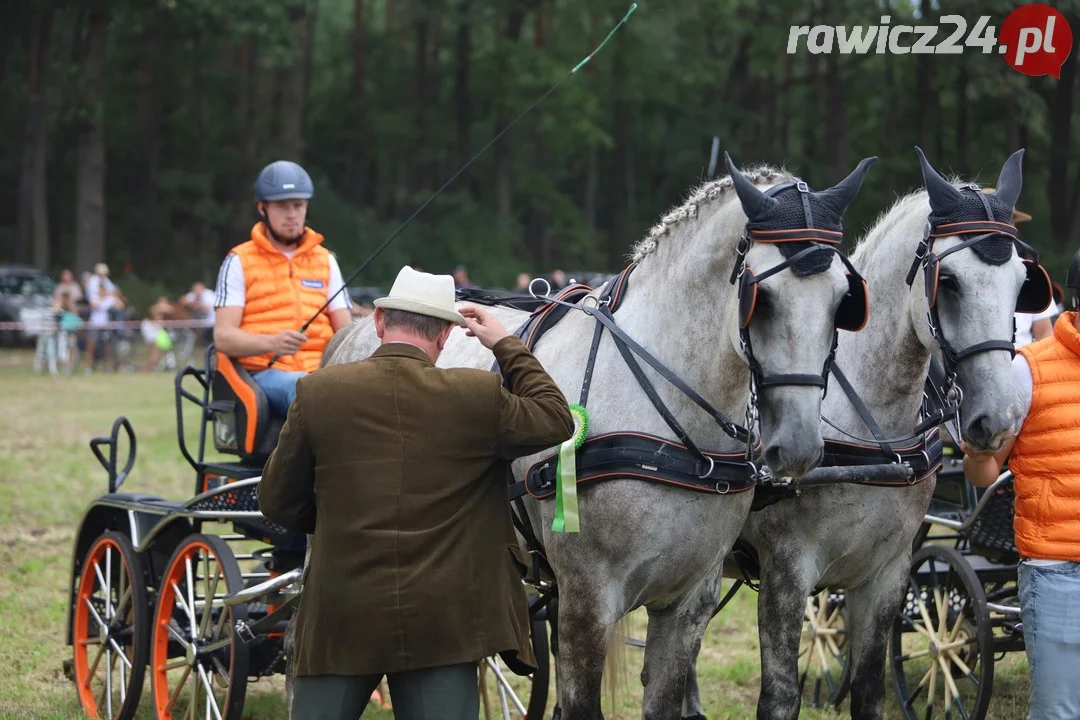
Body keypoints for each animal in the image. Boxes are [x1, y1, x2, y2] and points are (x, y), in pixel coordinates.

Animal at [306, 156, 876, 720]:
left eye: (842, 302)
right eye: (764, 298)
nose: (798, 446)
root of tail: (361, 328)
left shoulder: (689, 599)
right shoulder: (587, 598)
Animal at [721, 147, 1049, 720]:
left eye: (1019, 284)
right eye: (950, 282)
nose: (999, 419)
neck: (874, 438)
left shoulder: (887, 573)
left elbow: (870, 686)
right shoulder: (786, 573)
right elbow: (780, 695)